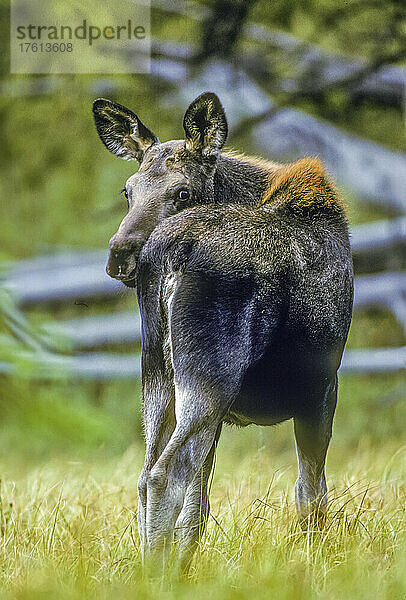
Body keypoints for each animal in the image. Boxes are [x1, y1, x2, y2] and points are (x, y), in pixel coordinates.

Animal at [92, 91, 352, 568]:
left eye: (182, 191)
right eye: (128, 190)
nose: (120, 254)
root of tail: (172, 251)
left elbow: (197, 509)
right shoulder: (323, 386)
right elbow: (311, 492)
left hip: (159, 375)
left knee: (146, 475)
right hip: (209, 373)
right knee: (163, 475)